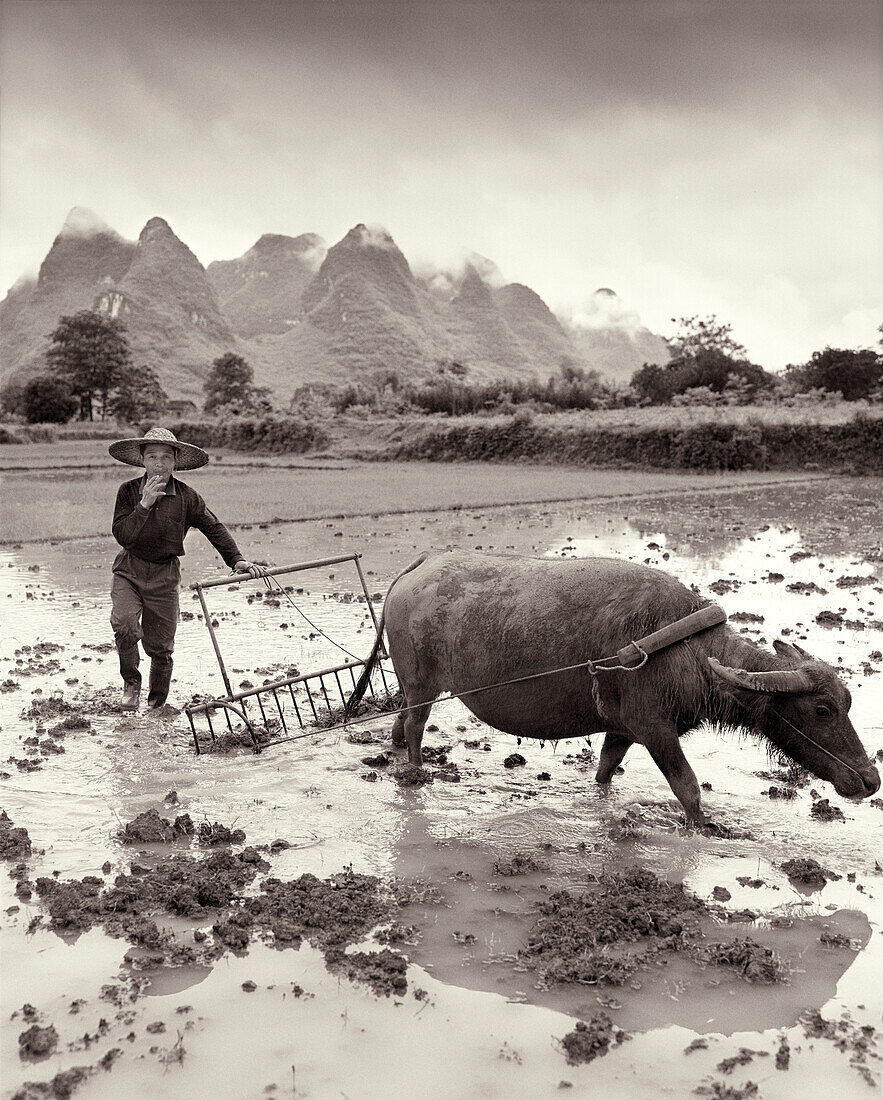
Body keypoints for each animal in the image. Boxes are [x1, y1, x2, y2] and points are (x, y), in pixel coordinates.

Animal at [349, 550, 879, 827]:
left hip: (414, 684)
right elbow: (687, 788)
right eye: (823, 709)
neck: (684, 649)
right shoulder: (655, 730)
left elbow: (605, 770)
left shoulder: (622, 729)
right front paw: (705, 827)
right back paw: (416, 773)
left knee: (400, 720)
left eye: (846, 703)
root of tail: (416, 571)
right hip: (422, 683)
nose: (870, 781)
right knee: (415, 727)